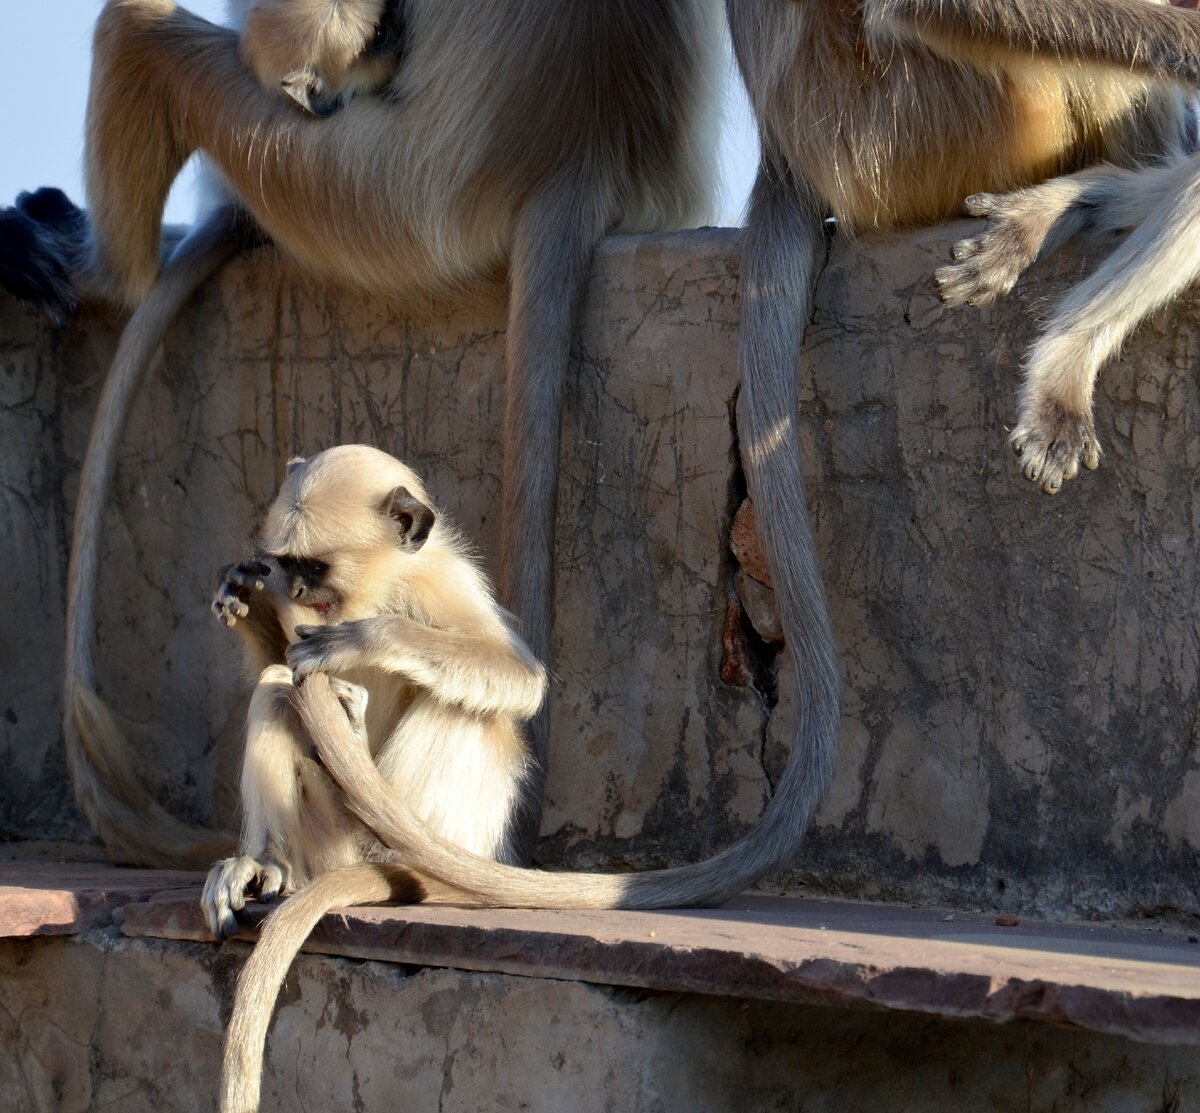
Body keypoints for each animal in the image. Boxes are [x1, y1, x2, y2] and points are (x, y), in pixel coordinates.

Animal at [204, 443, 547, 940]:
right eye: (287, 564)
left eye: (316, 568)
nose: (296, 589)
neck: (380, 590)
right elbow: (280, 661)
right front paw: (241, 589)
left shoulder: (442, 581)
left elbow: (522, 677)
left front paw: (366, 639)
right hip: (331, 844)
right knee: (275, 688)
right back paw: (267, 863)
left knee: (468, 709)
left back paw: (397, 846)